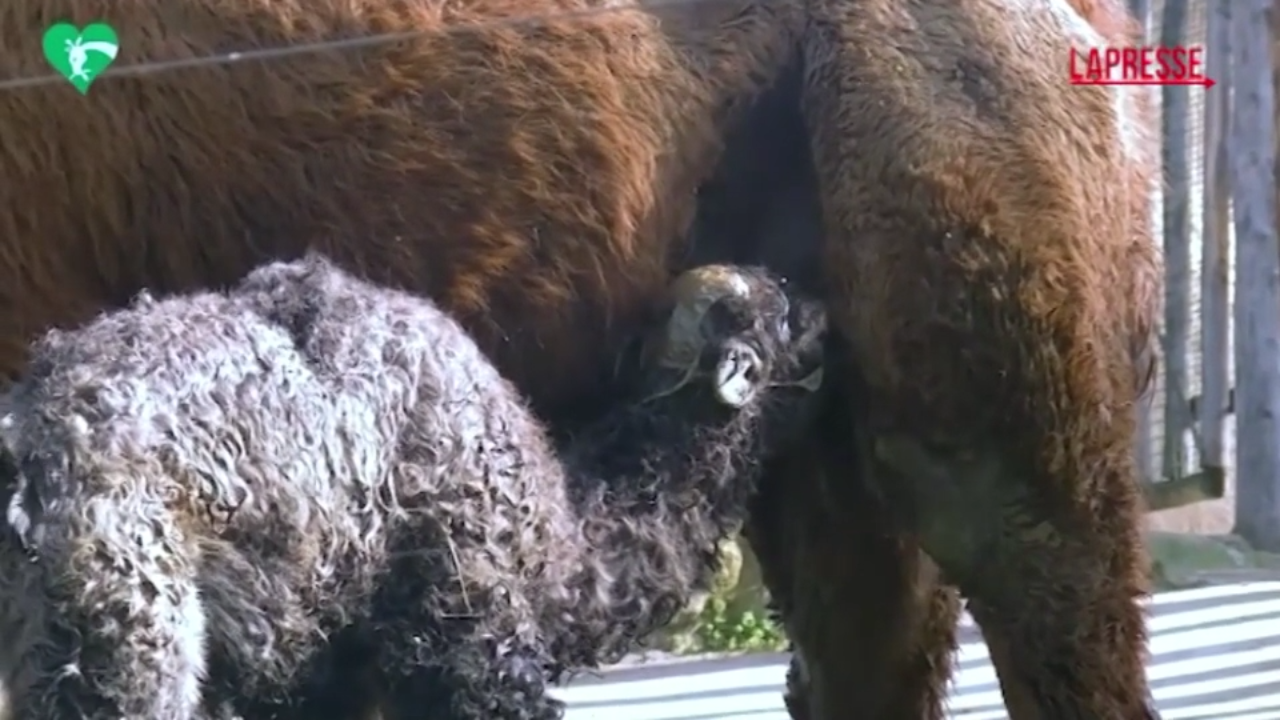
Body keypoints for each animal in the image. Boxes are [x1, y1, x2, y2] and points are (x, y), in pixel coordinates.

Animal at [0, 253, 824, 717]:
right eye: (778, 310)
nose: (822, 308)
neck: (562, 552)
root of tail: (24, 452)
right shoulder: (469, 646)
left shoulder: (313, 673)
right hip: (128, 644)